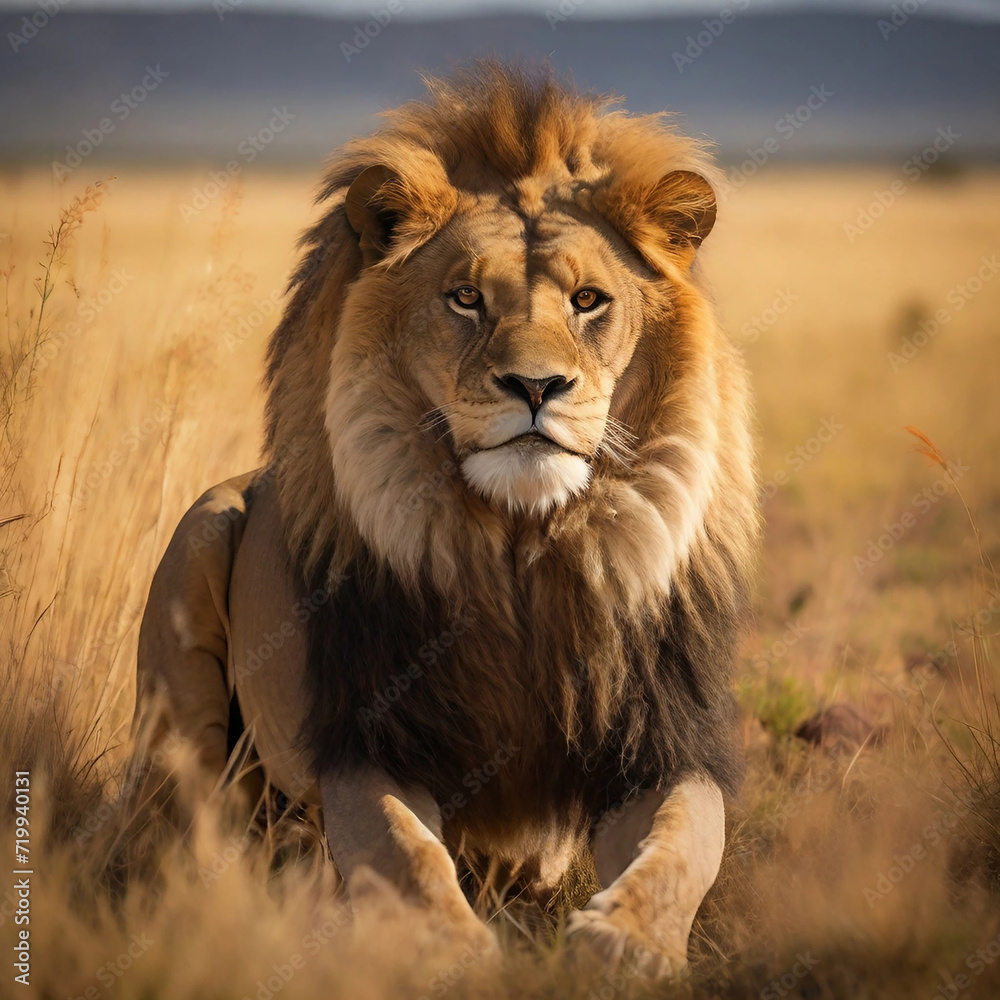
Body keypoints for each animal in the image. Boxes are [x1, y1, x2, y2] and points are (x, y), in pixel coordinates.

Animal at [135, 62, 759, 977]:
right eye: (465, 298)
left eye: (589, 301)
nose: (536, 386)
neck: (521, 550)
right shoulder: (368, 740)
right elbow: (405, 851)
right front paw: (447, 947)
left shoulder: (666, 743)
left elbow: (681, 847)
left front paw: (626, 942)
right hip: (201, 537)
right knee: (194, 824)